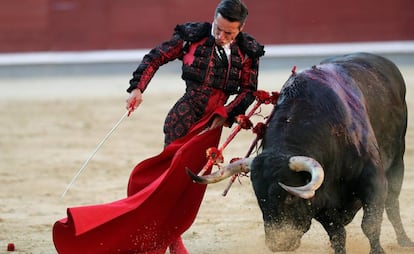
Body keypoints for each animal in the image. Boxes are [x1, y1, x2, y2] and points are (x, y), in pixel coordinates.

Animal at [188, 52, 414, 253]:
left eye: (289, 198)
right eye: (260, 198)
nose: (278, 245)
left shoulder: (373, 181)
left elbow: (370, 224)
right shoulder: (322, 202)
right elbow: (337, 235)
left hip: (397, 161)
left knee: (392, 203)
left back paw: (404, 240)